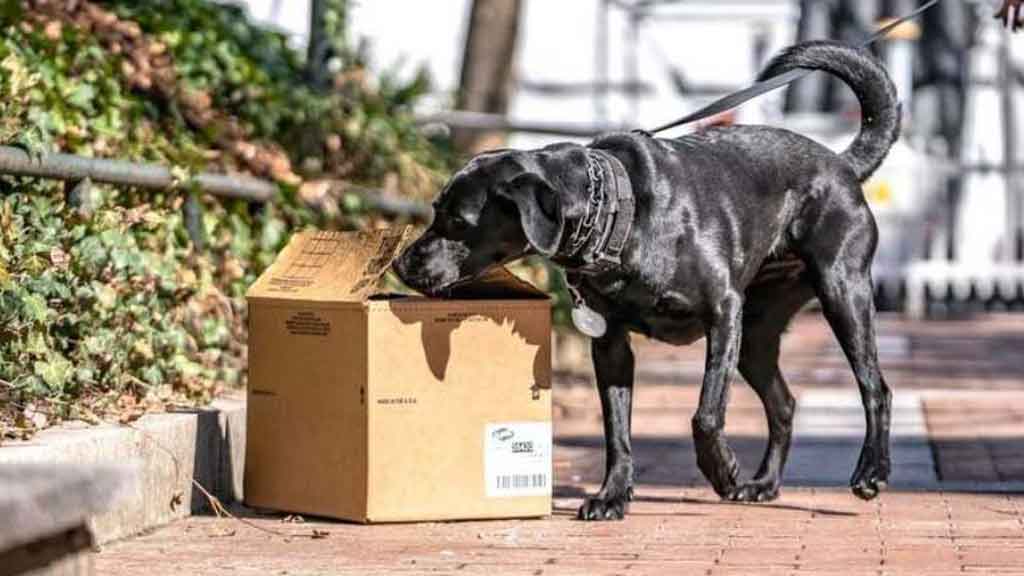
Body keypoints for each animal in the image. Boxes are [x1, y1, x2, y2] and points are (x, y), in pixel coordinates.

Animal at [391, 38, 897, 518]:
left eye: (456, 220)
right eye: (435, 210)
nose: (400, 264)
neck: (618, 214)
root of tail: (840, 163)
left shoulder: (723, 313)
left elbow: (706, 414)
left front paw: (721, 471)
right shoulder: (610, 345)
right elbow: (617, 432)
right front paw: (612, 496)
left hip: (840, 292)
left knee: (876, 389)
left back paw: (869, 473)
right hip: (755, 333)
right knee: (785, 404)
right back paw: (764, 483)